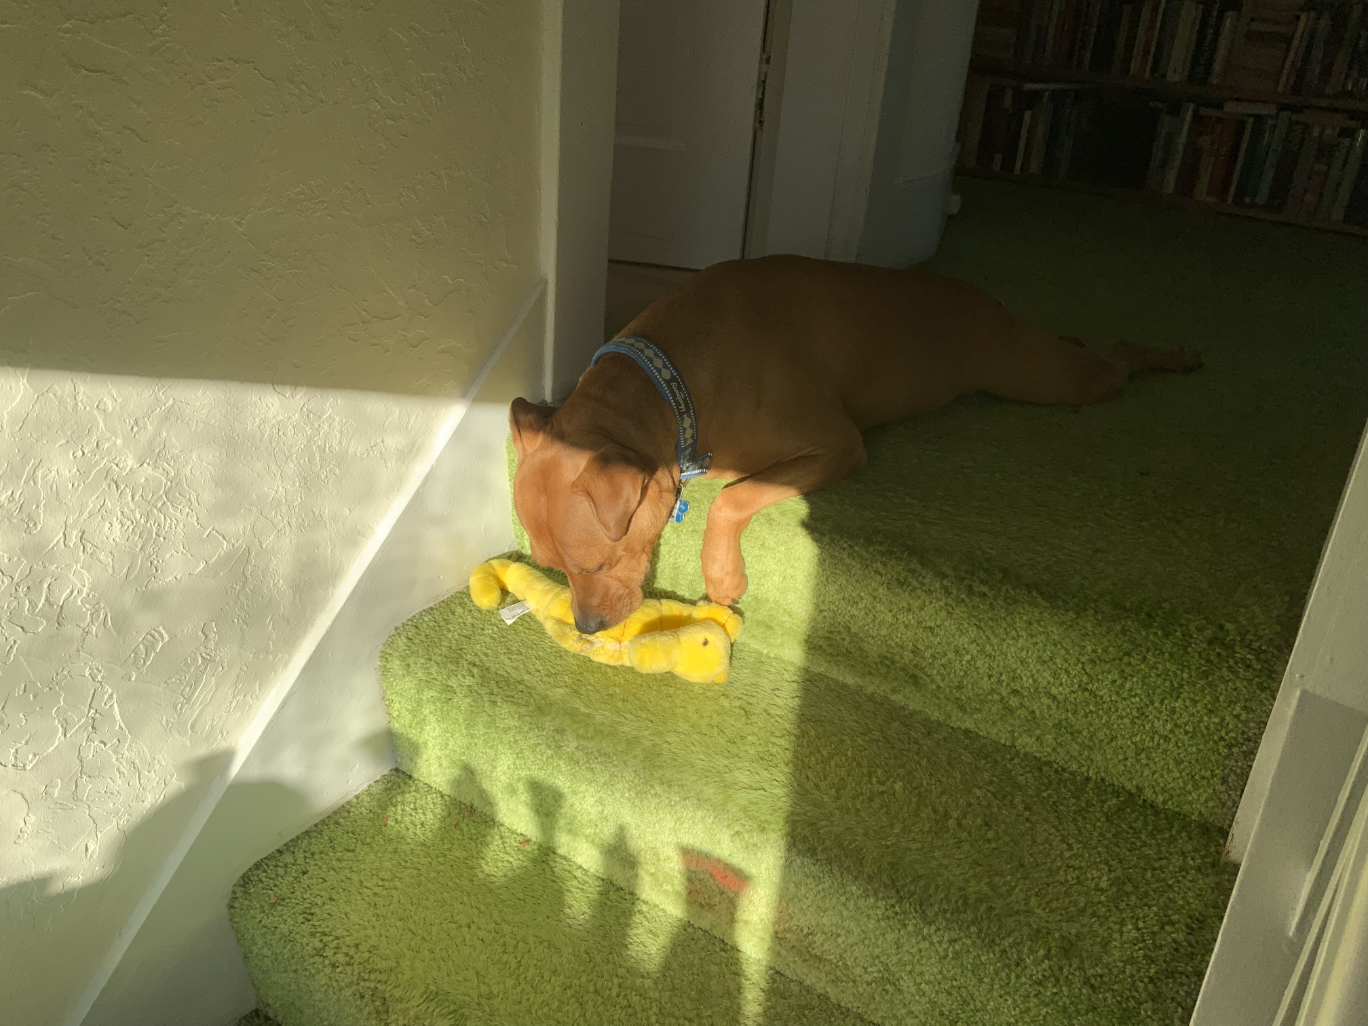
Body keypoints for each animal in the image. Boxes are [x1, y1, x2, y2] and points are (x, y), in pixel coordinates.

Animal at [506, 255, 1198, 634]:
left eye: (596, 565)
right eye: (552, 566)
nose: (587, 627)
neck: (669, 391)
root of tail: (983, 299)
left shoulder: (837, 446)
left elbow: (733, 496)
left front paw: (723, 575)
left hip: (1040, 377)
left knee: (1118, 360)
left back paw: (1171, 354)